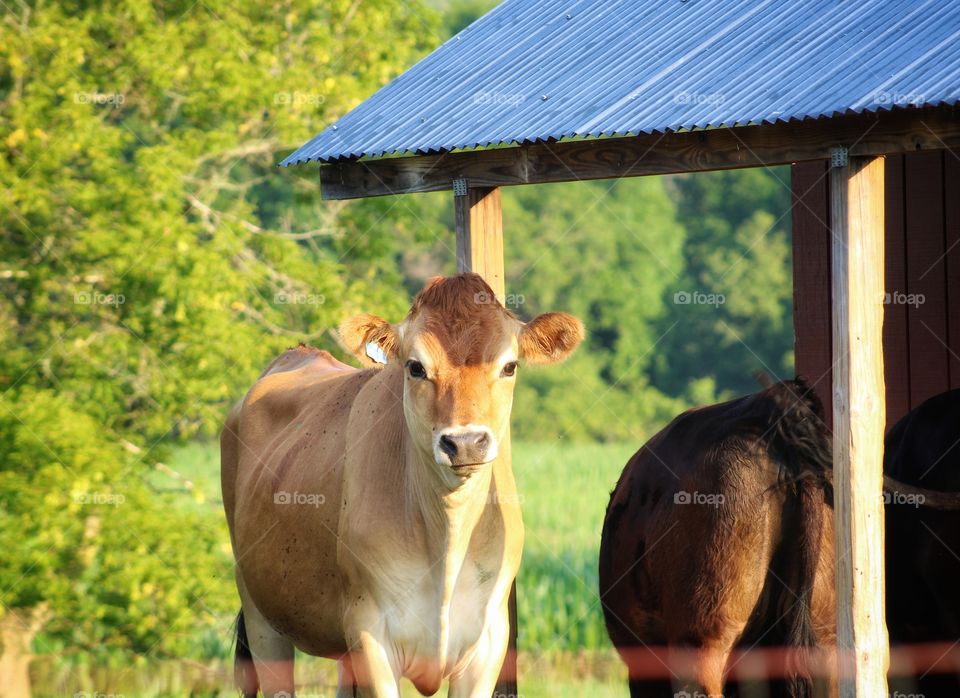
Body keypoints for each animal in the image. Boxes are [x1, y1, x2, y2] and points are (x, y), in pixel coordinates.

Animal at [223, 274, 584, 696]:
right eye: (415, 367)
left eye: (509, 366)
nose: (465, 442)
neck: (447, 540)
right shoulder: (371, 635)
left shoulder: (488, 641)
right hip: (261, 618)